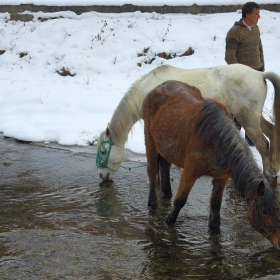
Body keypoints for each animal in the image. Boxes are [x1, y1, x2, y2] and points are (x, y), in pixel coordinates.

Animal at [96, 63, 280, 182]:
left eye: (103, 152)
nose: (102, 176)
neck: (146, 92)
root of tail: (260, 74)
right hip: (253, 117)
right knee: (272, 133)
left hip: (248, 118)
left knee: (263, 144)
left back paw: (268, 175)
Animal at [143, 80, 280, 248]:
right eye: (264, 211)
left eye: (278, 209)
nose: (279, 242)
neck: (216, 140)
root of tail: (160, 86)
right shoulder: (190, 172)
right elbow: (180, 200)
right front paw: (169, 222)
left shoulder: (222, 178)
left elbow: (215, 204)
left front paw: (215, 228)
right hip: (150, 142)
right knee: (152, 171)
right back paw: (152, 203)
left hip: (166, 147)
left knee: (165, 167)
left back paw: (166, 192)